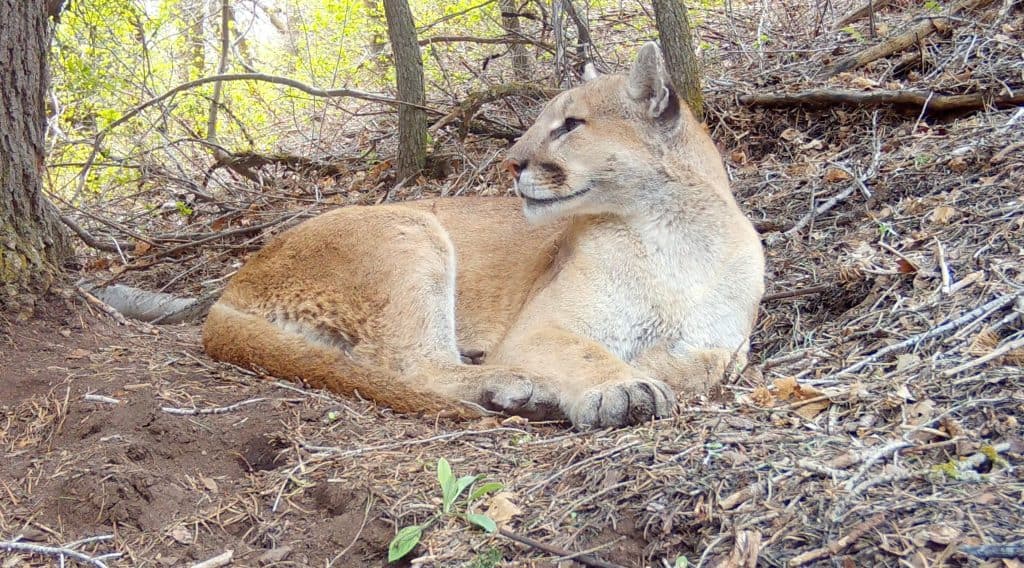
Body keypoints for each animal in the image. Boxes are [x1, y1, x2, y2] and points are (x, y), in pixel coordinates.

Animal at [202, 43, 765, 428]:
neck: (673, 234)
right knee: (417, 366)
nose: (511, 162)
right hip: (412, 231)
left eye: (570, 125)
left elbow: (709, 363)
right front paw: (624, 387)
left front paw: (653, 369)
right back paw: (515, 384)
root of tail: (236, 282)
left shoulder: (724, 342)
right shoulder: (540, 327)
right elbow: (590, 352)